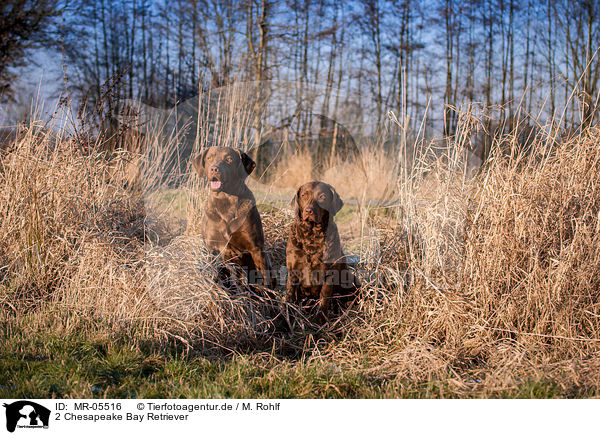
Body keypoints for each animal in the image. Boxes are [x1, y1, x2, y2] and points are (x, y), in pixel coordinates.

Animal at [192, 146, 274, 292]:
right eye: (209, 158)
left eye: (229, 159)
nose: (214, 169)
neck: (226, 202)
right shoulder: (214, 248)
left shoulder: (256, 248)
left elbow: (263, 279)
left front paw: (266, 295)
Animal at [284, 181, 358, 320]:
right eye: (304, 195)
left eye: (322, 196)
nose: (309, 210)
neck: (311, 237)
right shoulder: (293, 271)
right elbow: (290, 296)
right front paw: (287, 318)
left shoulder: (329, 274)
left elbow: (324, 300)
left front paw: (320, 321)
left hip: (352, 278)